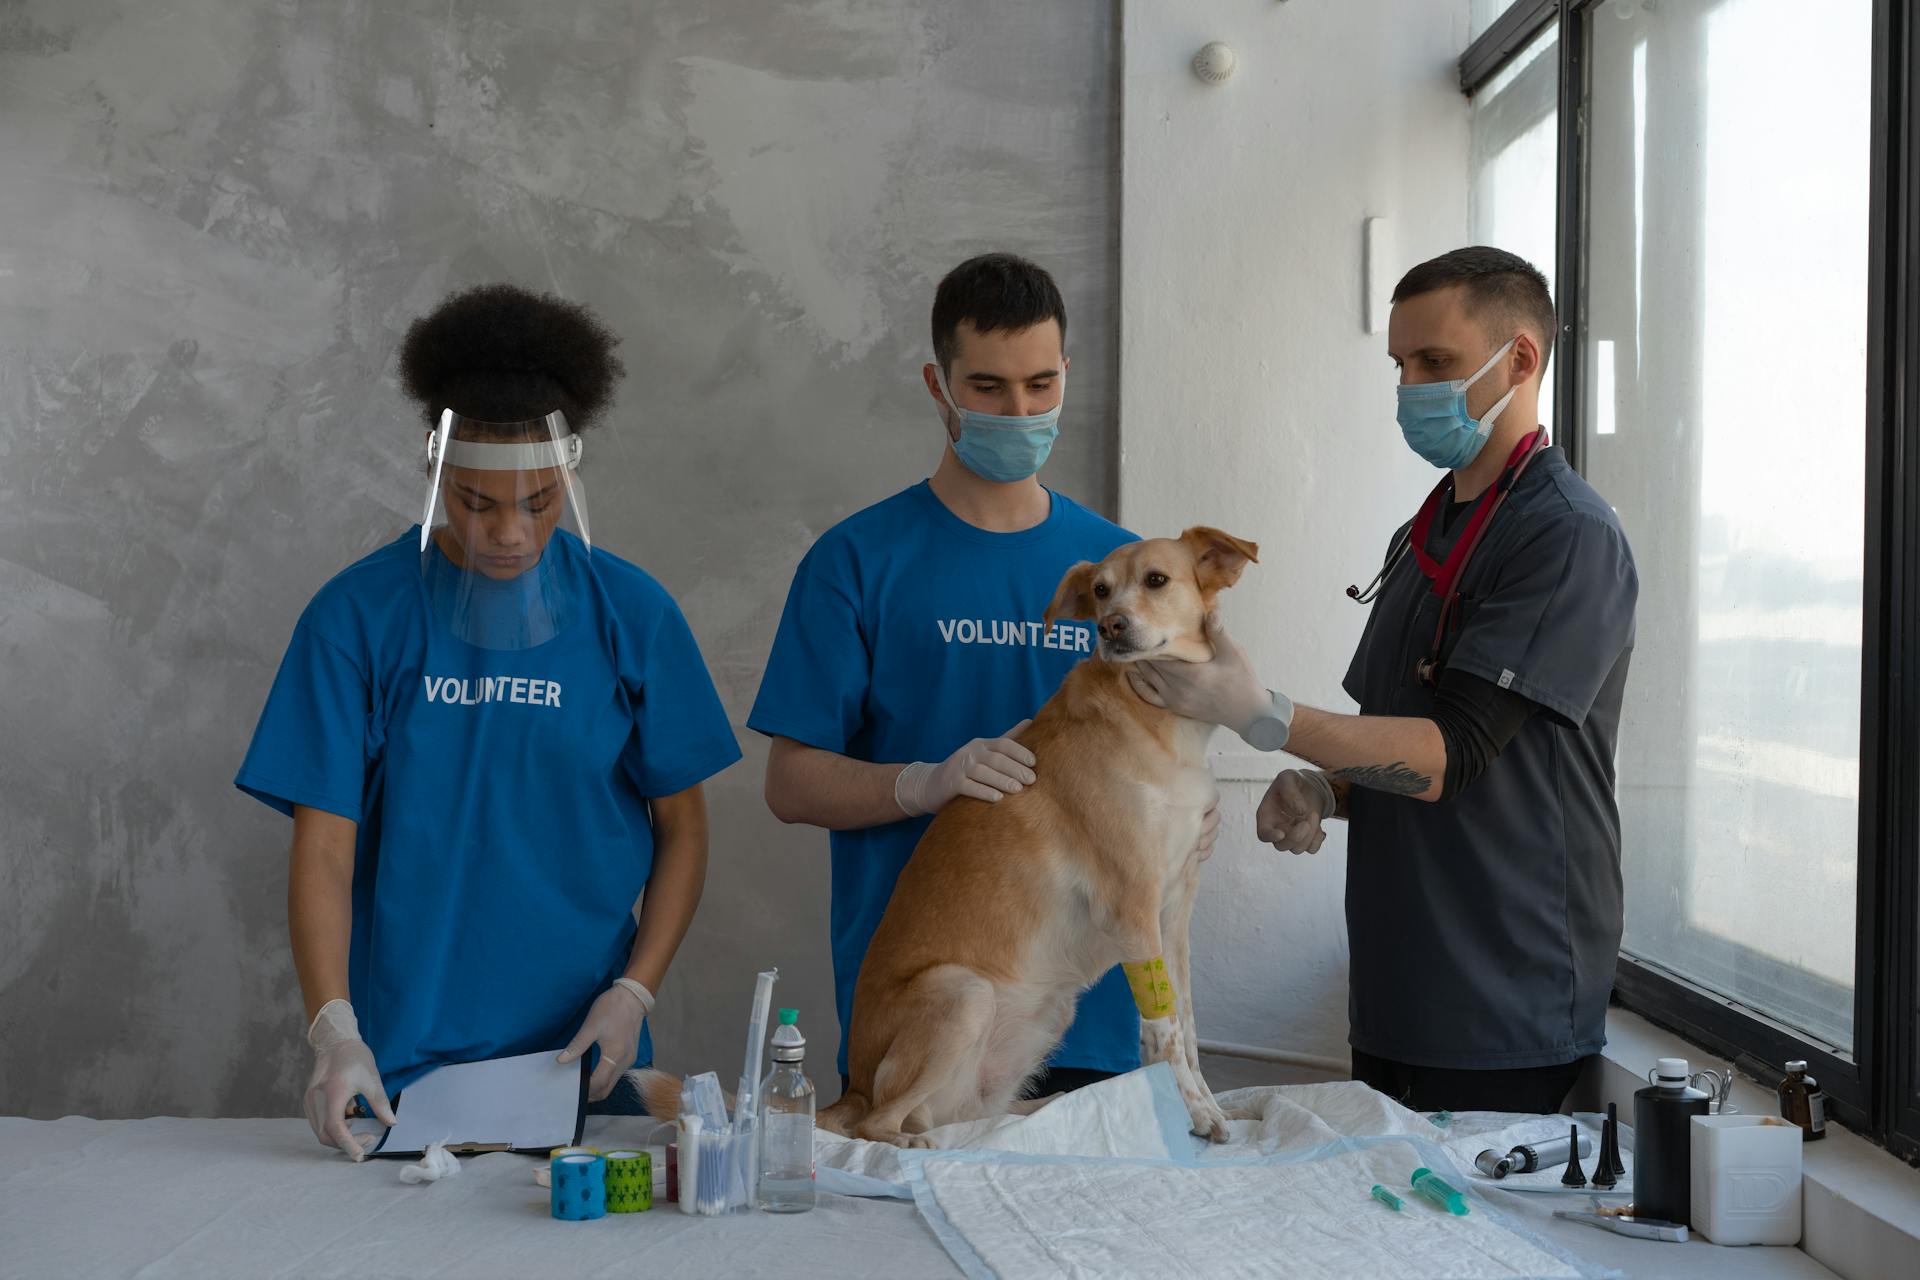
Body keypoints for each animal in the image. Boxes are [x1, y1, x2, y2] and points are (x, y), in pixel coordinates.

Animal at [810, 525, 1259, 1143]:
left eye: (1156, 580)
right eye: (1100, 591)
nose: (1109, 626)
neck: (1159, 722)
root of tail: (850, 1085)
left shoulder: (1174, 913)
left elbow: (1187, 1027)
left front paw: (1217, 1106)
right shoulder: (1132, 908)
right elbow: (1162, 1033)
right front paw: (1194, 1113)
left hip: (1040, 1016)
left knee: (977, 1116)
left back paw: (1049, 1109)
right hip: (963, 993)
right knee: (875, 1124)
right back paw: (916, 1143)